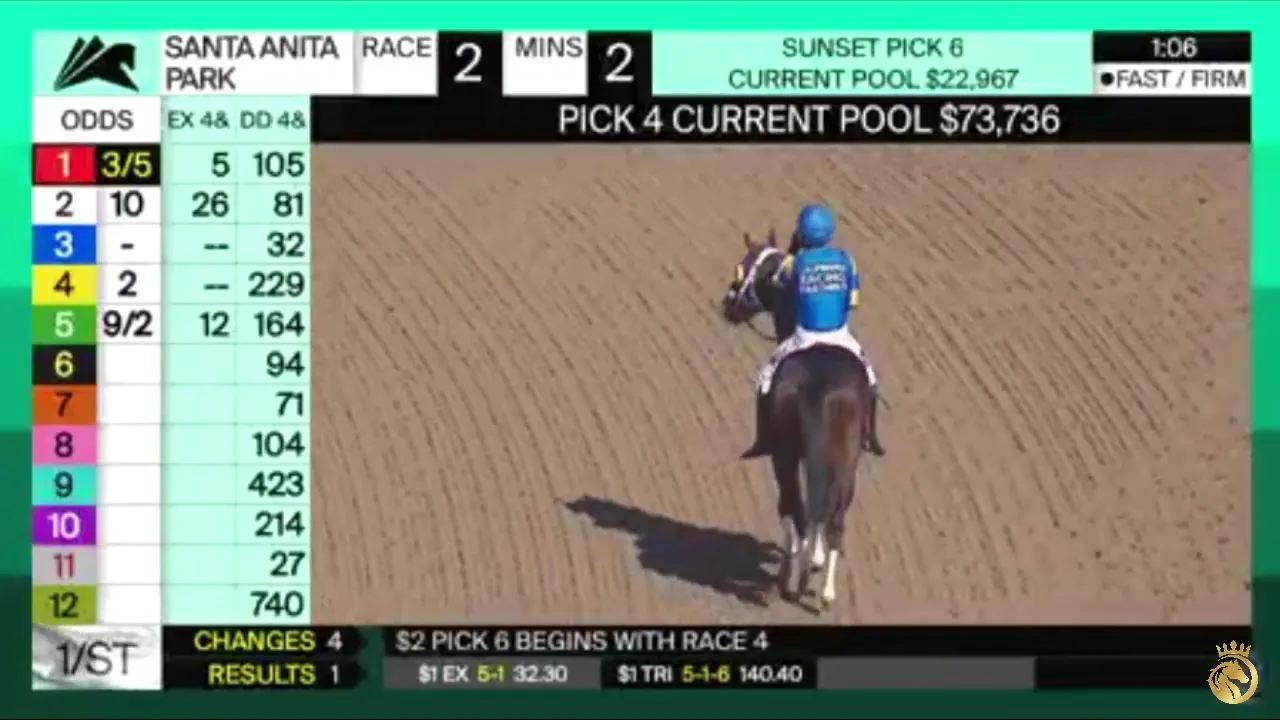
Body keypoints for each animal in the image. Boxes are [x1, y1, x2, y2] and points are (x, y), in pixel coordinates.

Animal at [720, 229, 875, 611]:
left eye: (745, 266)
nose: (728, 305)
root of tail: (818, 387)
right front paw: (814, 560)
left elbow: (795, 508)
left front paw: (800, 560)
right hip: (848, 458)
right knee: (833, 515)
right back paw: (826, 593)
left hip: (784, 454)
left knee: (794, 505)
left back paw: (791, 577)